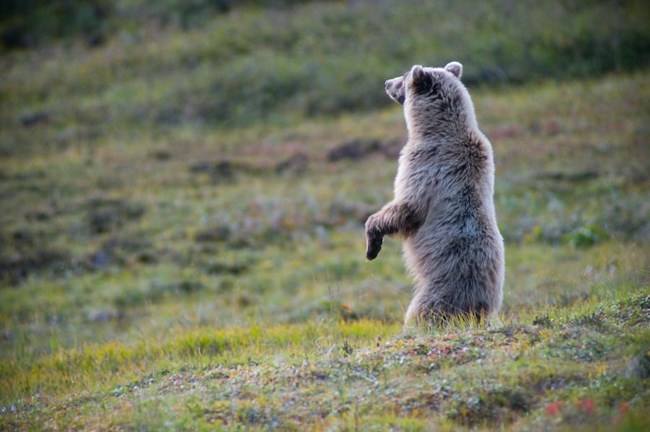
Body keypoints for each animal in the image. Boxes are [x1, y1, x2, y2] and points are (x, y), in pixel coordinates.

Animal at [365, 61, 505, 326]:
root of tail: (478, 307)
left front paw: (372, 242)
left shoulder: (424, 165)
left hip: (442, 287)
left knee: (423, 311)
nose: (387, 83)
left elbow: (408, 206)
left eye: (404, 78)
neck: (436, 128)